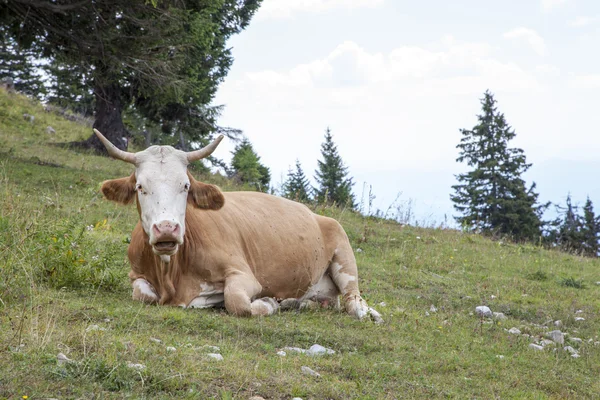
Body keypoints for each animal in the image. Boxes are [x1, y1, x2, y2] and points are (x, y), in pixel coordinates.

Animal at [94, 130, 384, 324]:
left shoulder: (244, 273)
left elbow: (236, 301)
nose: (166, 229)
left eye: (185, 186)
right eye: (140, 187)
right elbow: (142, 294)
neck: (173, 277)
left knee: (353, 300)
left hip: (343, 251)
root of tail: (317, 215)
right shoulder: (136, 274)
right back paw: (297, 303)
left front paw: (267, 302)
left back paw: (368, 313)